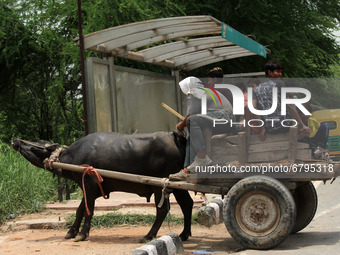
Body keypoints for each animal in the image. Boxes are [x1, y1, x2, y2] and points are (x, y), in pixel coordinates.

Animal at [11, 131, 191, 243]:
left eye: (38, 143)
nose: (16, 141)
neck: (73, 156)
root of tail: (175, 136)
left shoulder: (89, 184)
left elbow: (88, 210)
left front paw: (82, 234)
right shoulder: (89, 188)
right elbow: (80, 209)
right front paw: (71, 231)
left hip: (159, 186)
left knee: (162, 210)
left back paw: (148, 235)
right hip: (177, 185)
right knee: (186, 204)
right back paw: (184, 234)